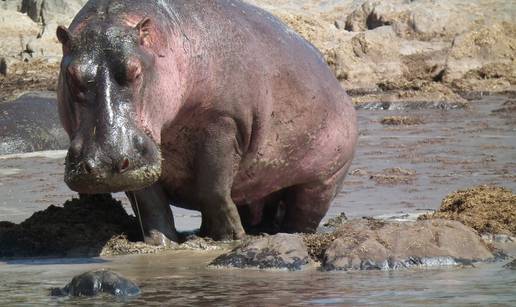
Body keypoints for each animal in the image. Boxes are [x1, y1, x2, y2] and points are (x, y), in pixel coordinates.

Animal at [55, 0, 354, 245]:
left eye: (135, 71)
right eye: (71, 74)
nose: (104, 163)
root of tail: (337, 85)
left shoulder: (223, 122)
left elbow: (213, 186)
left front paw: (230, 238)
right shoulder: (142, 159)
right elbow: (150, 201)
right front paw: (160, 243)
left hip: (323, 180)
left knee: (301, 214)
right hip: (261, 183)